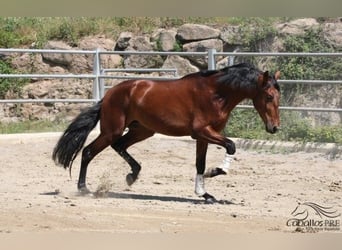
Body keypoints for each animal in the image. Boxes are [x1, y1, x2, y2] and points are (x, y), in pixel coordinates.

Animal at [51, 62, 280, 203]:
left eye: (278, 96)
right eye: (269, 96)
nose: (275, 127)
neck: (216, 94)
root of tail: (109, 94)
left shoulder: (204, 136)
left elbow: (200, 163)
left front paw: (205, 194)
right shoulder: (202, 131)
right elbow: (231, 146)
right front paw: (216, 171)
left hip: (143, 130)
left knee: (120, 146)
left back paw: (132, 175)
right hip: (112, 131)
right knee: (89, 151)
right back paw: (84, 188)